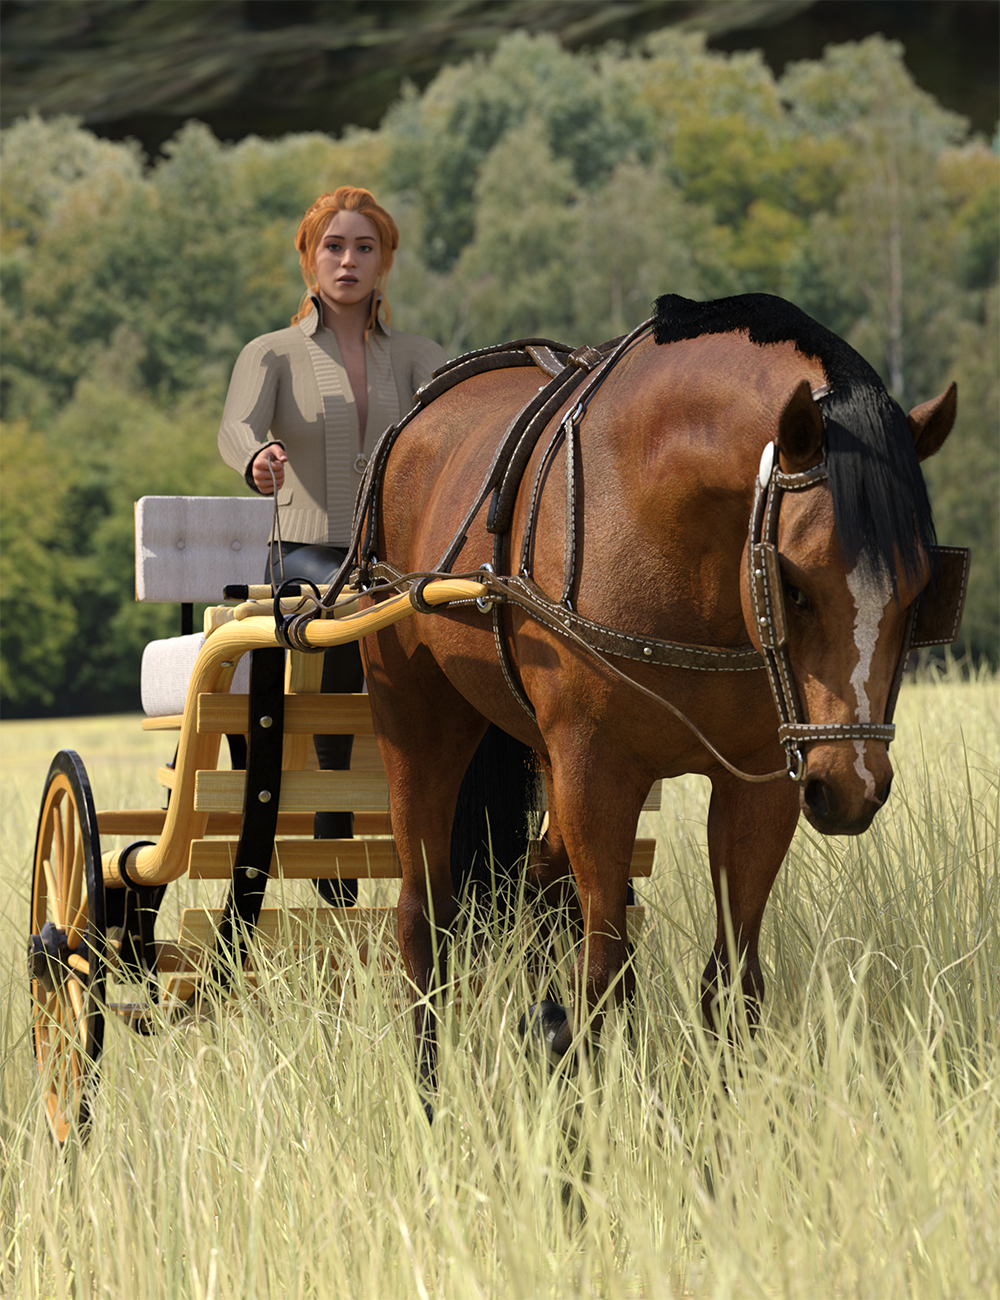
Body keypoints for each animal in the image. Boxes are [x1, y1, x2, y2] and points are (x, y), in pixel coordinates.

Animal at [286, 293, 963, 1086]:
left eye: (920, 593)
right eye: (792, 584)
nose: (854, 785)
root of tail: (412, 424)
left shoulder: (762, 780)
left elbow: (731, 982)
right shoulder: (597, 768)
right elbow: (604, 972)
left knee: (540, 886)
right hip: (418, 716)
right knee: (425, 915)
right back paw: (430, 1087)